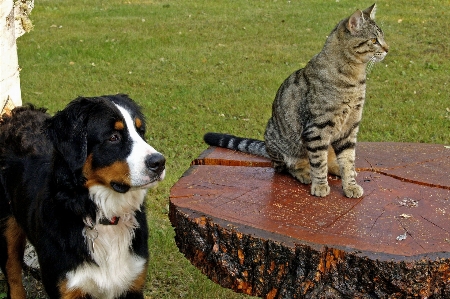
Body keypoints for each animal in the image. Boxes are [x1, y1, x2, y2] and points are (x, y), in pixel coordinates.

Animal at [0, 95, 165, 298]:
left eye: (140, 132)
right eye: (113, 137)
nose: (159, 162)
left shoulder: (133, 282)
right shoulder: (65, 287)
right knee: (13, 277)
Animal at [206, 4, 388, 199]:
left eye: (382, 38)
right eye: (374, 40)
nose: (388, 48)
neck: (354, 78)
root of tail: (268, 147)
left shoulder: (349, 128)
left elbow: (347, 159)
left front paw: (350, 185)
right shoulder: (317, 129)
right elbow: (318, 162)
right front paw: (320, 185)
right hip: (280, 142)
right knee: (286, 167)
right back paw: (304, 173)